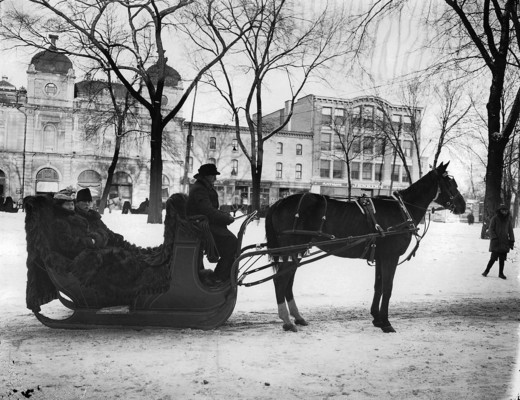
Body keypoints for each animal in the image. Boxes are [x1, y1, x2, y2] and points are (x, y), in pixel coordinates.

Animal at [266, 161, 466, 332]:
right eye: (450, 183)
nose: (463, 206)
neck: (401, 210)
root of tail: (279, 202)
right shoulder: (390, 257)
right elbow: (388, 287)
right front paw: (386, 322)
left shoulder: (380, 257)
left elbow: (378, 286)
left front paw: (377, 318)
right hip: (292, 250)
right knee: (280, 280)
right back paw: (287, 320)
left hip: (295, 252)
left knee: (288, 282)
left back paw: (297, 317)